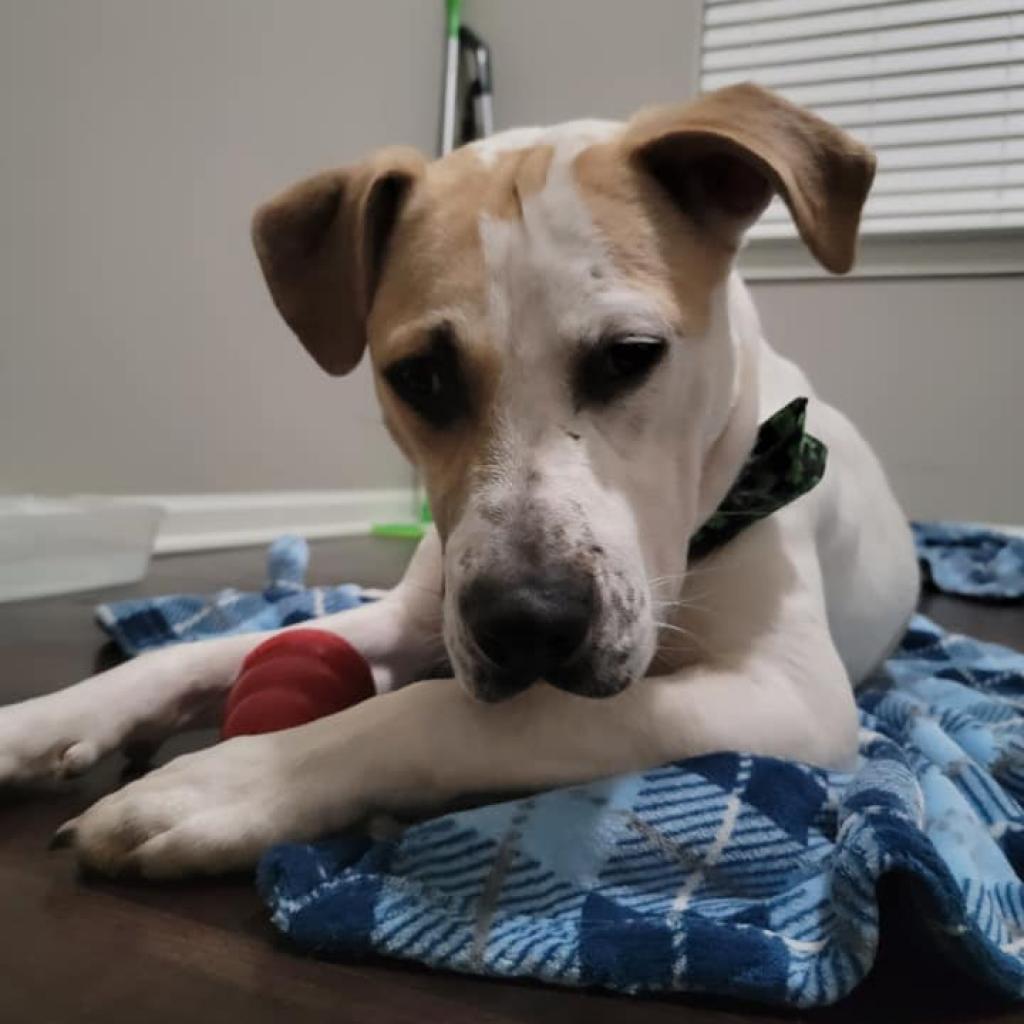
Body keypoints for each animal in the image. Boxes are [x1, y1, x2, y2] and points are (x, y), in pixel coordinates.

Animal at [0, 83, 917, 876]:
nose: (527, 622)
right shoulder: (420, 614)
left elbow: (458, 715)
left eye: (632, 355)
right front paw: (40, 722)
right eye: (420, 378)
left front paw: (227, 784)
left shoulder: (790, 694)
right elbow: (205, 652)